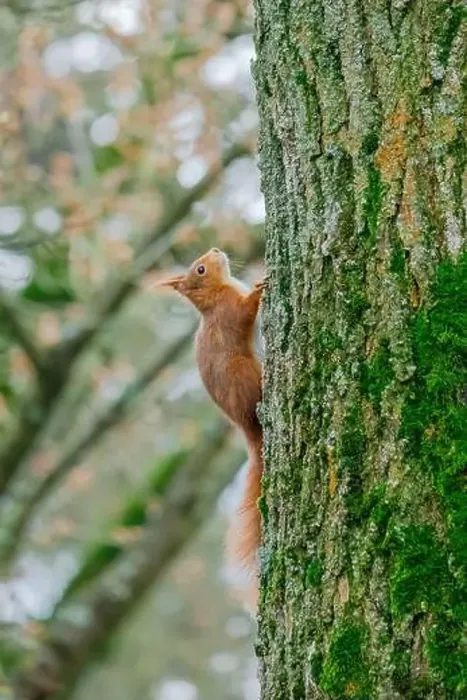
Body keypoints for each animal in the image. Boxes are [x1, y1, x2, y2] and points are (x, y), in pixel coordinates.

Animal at [159, 248, 265, 609]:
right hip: (245, 374)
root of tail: (247, 429)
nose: (216, 250)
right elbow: (246, 312)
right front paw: (261, 288)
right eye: (201, 270)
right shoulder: (230, 311)